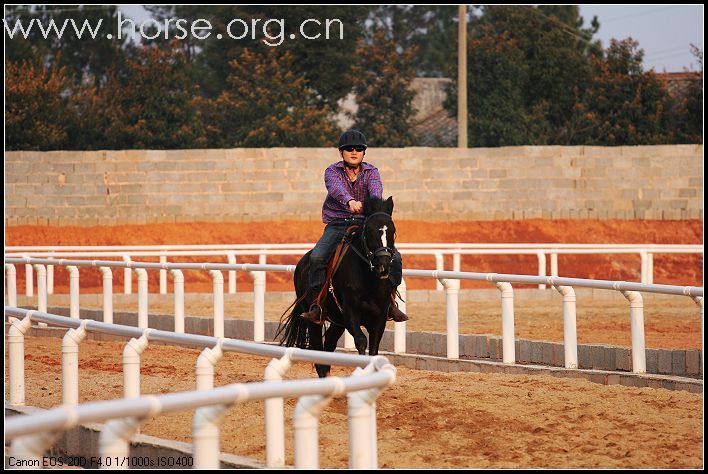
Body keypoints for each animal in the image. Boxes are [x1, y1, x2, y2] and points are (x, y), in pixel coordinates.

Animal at [278, 194, 398, 376]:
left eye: (392, 231)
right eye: (369, 231)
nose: (383, 266)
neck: (369, 282)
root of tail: (302, 263)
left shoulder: (379, 319)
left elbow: (374, 349)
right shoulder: (350, 314)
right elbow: (361, 341)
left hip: (337, 322)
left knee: (328, 345)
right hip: (314, 320)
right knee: (318, 352)